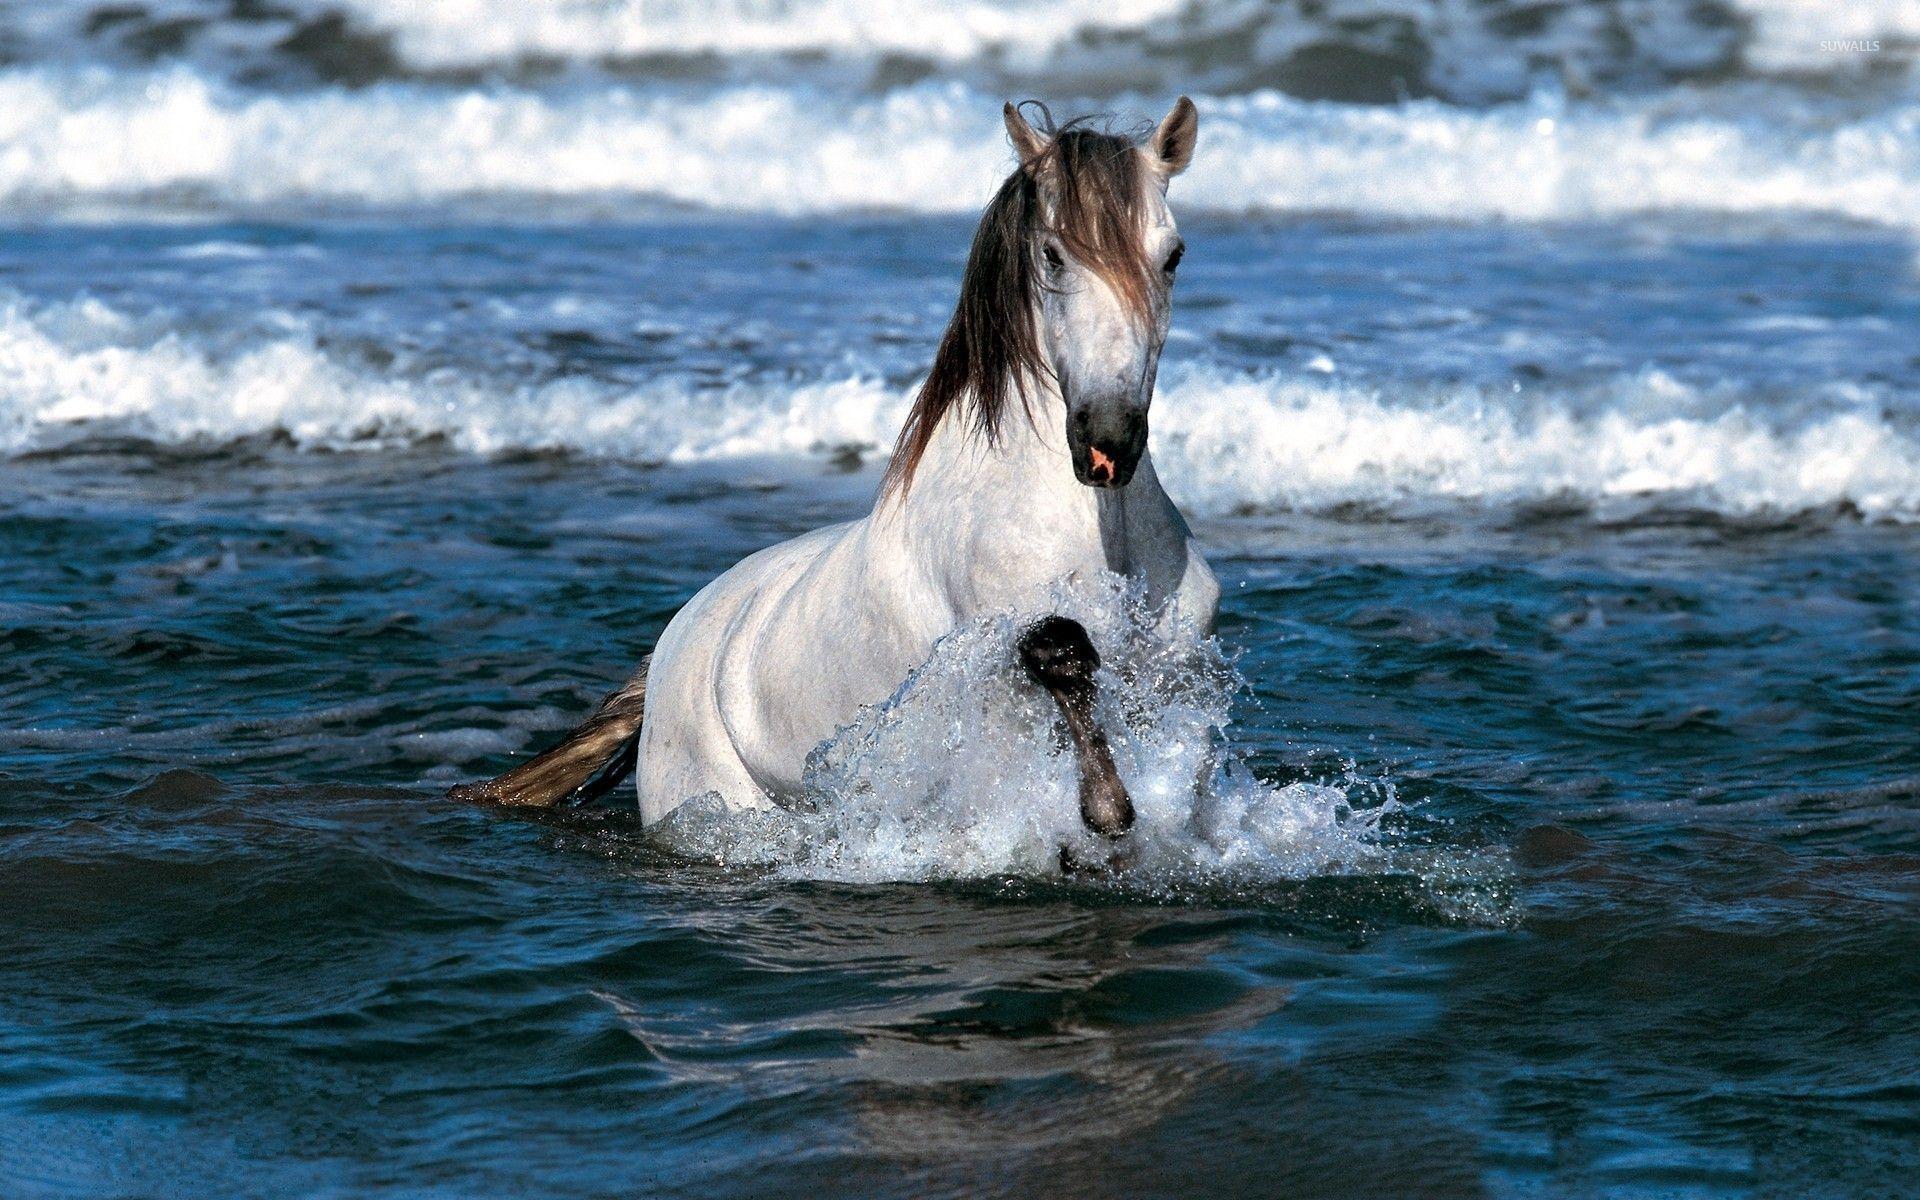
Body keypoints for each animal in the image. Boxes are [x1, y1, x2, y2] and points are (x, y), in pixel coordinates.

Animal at [453, 98, 1213, 837]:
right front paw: (1106, 812)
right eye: (1054, 256)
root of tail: (670, 649)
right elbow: (1060, 653)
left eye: (1174, 255)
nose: (1107, 440)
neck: (1101, 534)